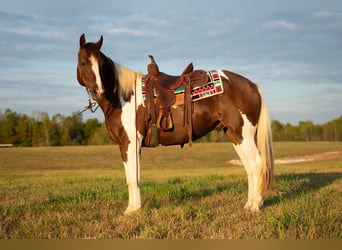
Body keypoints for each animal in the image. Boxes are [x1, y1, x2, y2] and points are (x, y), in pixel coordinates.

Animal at [76, 33, 274, 215]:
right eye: (83, 62)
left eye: (101, 65)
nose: (97, 90)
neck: (124, 96)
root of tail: (252, 85)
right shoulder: (128, 145)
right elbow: (133, 176)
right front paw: (134, 207)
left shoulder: (130, 143)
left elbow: (133, 178)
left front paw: (132, 210)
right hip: (235, 136)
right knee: (249, 167)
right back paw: (249, 204)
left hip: (244, 135)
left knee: (257, 164)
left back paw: (255, 205)